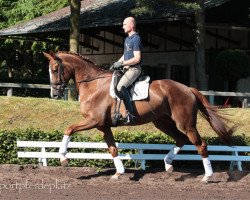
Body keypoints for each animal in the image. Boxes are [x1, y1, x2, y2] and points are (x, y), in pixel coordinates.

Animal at [43, 51, 234, 183]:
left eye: (55, 69)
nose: (54, 94)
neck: (93, 84)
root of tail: (188, 88)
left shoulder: (93, 121)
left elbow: (69, 129)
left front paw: (63, 157)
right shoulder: (103, 126)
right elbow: (112, 149)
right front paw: (118, 173)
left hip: (186, 124)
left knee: (200, 145)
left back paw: (207, 177)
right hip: (162, 122)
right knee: (181, 139)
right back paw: (168, 164)